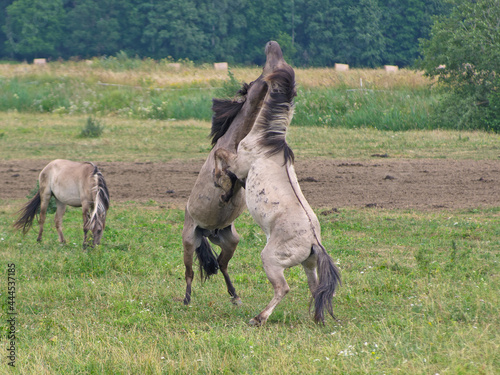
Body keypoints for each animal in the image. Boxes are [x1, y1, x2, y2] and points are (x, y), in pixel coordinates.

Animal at [183, 40, 290, 306]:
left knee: (222, 265)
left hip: (231, 241)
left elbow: (235, 180)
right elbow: (222, 170)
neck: (236, 141)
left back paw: (235, 295)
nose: (272, 45)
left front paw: (227, 193)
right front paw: (221, 188)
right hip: (189, 240)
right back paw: (187, 300)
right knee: (189, 272)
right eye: (260, 77)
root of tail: (207, 232)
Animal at [213, 64, 342, 326]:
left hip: (271, 259)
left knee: (283, 288)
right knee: (315, 288)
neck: (268, 144)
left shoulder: (239, 164)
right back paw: (317, 319)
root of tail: (314, 242)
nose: (240, 92)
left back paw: (258, 318)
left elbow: (220, 155)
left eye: (255, 83)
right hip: (308, 265)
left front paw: (219, 183)